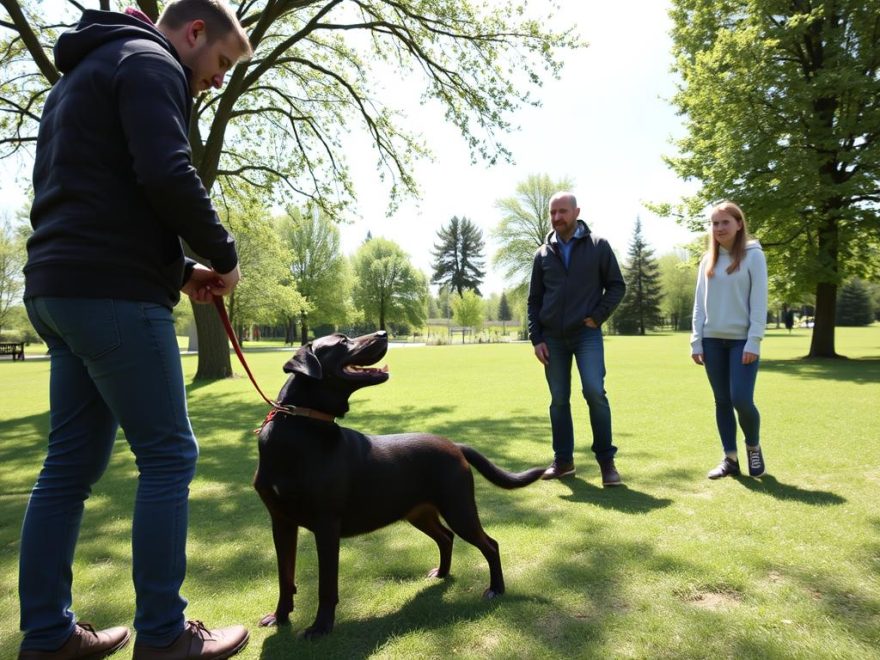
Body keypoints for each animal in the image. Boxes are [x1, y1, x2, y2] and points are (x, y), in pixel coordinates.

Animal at [251, 332, 548, 636]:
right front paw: (280, 616)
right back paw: (442, 573)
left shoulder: (327, 524)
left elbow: (326, 586)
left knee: (490, 544)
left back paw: (496, 588)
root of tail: (455, 446)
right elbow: (285, 576)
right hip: (420, 513)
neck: (300, 426)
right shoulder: (281, 522)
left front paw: (320, 628)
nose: (383, 334)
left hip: (459, 508)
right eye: (342, 341)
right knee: (446, 537)